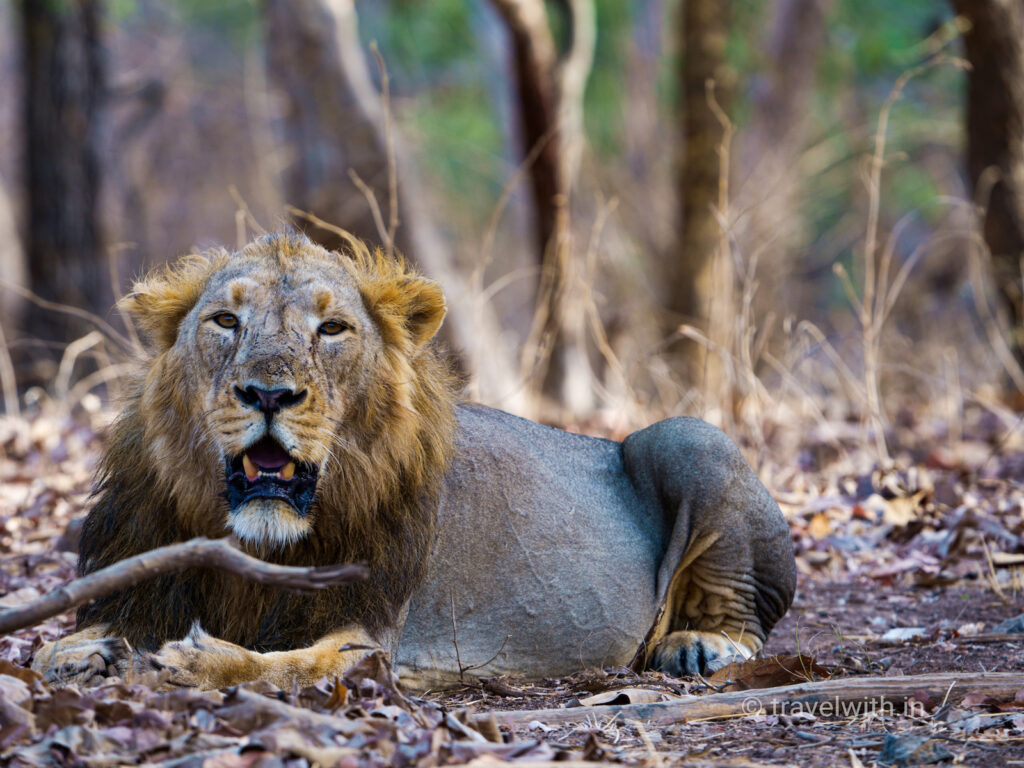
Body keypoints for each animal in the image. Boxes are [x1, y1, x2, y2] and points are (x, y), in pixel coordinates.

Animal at [32, 233, 794, 692]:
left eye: (331, 328)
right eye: (225, 321)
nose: (270, 394)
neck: (255, 541)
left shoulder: (374, 636)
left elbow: (283, 665)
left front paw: (193, 659)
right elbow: (78, 631)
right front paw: (74, 651)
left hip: (690, 437)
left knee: (746, 616)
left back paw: (699, 646)